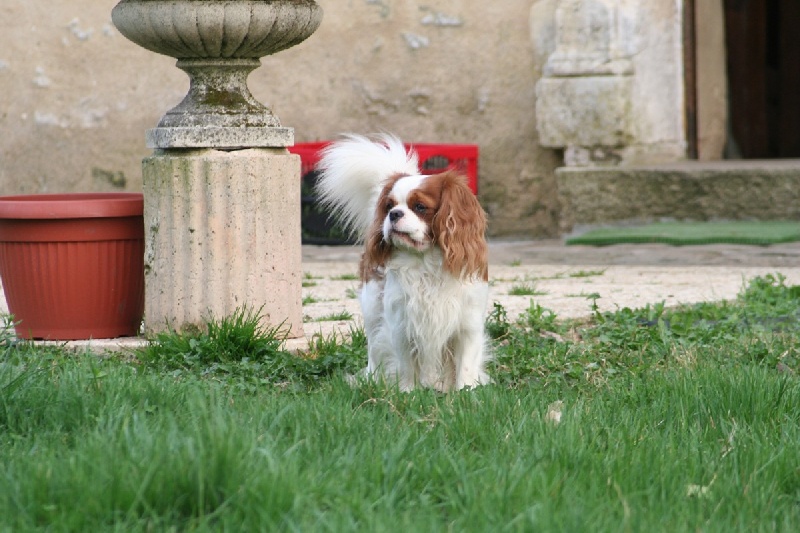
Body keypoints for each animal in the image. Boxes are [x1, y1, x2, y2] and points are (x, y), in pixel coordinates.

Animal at [316, 134, 490, 390]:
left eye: (420, 207)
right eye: (389, 206)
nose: (394, 214)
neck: (426, 262)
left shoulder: (467, 325)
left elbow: (466, 366)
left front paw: (466, 391)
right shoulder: (401, 324)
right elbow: (407, 365)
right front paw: (408, 392)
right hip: (372, 310)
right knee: (374, 352)